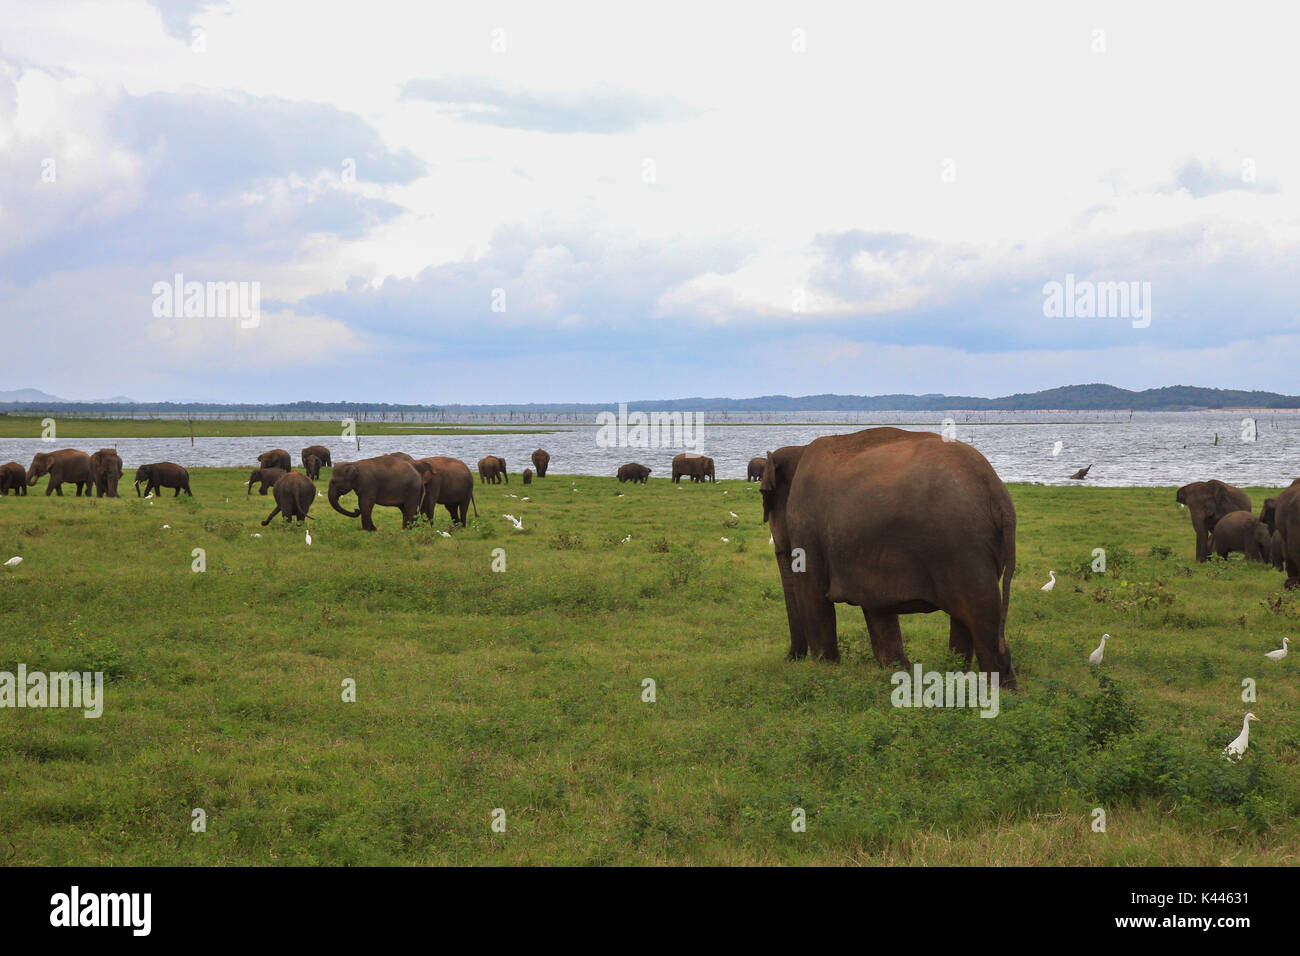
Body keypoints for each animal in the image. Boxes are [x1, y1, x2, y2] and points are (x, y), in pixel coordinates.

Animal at [759, 429, 1019, 691]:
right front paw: (900, 671)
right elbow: (877, 607)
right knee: (966, 619)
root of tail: (998, 494)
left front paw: (826, 670)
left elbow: (812, 594)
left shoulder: (807, 529)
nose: (789, 658)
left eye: (764, 494)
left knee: (983, 619)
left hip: (964, 548)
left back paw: (1000, 692)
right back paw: (952, 680)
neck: (799, 450)